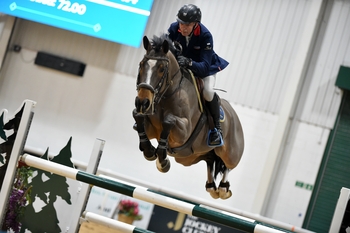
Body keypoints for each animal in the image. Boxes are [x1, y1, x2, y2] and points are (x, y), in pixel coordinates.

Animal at [133, 33, 245, 199]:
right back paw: (211, 187)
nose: (142, 102)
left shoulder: (183, 132)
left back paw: (223, 189)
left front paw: (162, 160)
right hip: (189, 157)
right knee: (210, 160)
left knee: (228, 165)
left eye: (161, 69)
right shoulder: (151, 128)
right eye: (141, 65)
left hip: (231, 153)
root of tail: (234, 115)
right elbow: (138, 118)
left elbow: (168, 121)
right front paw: (150, 152)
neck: (167, 94)